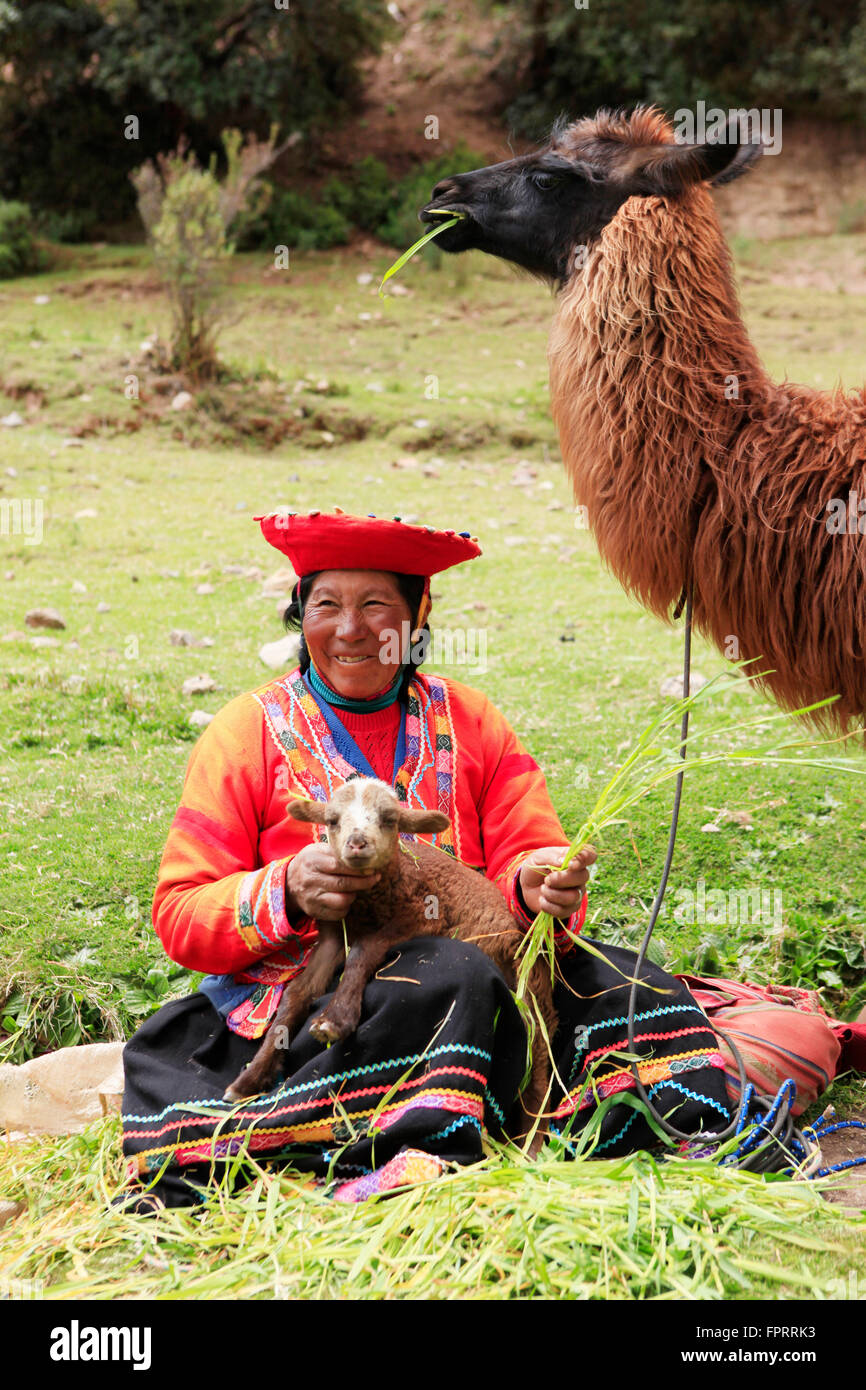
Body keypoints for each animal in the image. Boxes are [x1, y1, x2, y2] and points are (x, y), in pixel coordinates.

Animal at [223, 778, 558, 1156]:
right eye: (332, 820)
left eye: (389, 819)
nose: (357, 843)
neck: (373, 900)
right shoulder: (332, 936)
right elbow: (298, 993)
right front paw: (252, 1077)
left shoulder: (423, 915)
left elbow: (363, 951)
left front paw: (335, 1020)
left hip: (529, 990)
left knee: (540, 1065)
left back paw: (531, 1145)